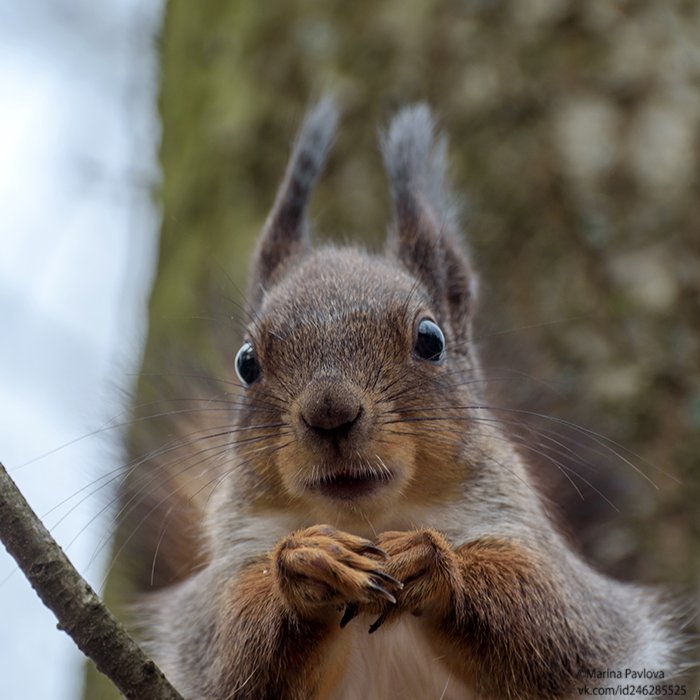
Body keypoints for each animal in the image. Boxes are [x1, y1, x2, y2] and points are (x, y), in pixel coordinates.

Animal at [137, 98, 688, 700]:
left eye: (431, 340)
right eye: (246, 363)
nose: (330, 414)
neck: (371, 520)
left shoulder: (539, 556)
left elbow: (551, 623)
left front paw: (430, 560)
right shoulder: (226, 579)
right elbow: (236, 653)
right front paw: (306, 562)